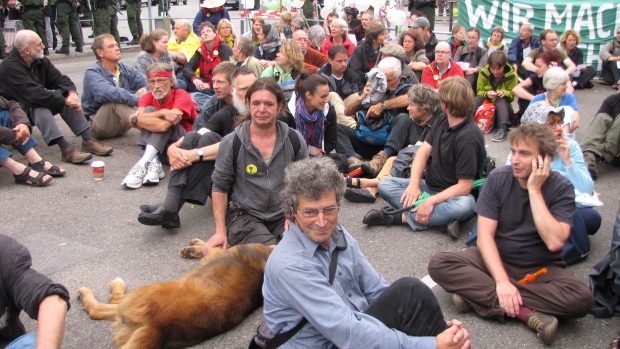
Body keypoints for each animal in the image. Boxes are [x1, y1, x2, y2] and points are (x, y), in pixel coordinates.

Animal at [77, 242, 272, 348]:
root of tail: (156, 327)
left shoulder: (221, 252)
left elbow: (213, 248)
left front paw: (196, 247)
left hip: (136, 297)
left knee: (104, 305)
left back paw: (96, 290)